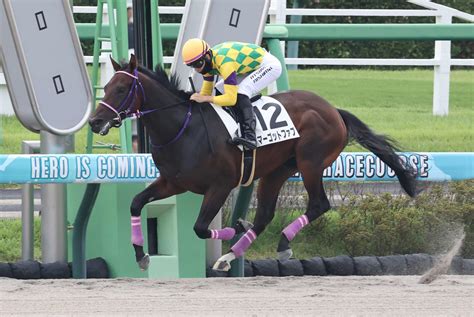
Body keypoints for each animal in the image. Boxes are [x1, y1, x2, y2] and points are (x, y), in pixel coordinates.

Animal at [89, 55, 418, 272]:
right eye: (106, 87)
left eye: (121, 90)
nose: (94, 122)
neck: (183, 128)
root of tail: (334, 111)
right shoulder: (173, 182)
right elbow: (136, 203)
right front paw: (141, 254)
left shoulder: (220, 186)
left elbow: (199, 227)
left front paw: (232, 228)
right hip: (278, 171)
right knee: (265, 214)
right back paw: (230, 255)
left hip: (310, 162)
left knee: (319, 204)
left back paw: (280, 244)